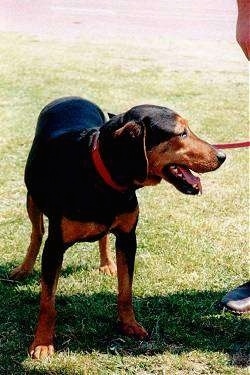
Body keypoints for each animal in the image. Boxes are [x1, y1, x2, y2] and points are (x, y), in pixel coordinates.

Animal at [9, 97, 226, 362]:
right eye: (181, 133)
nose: (223, 156)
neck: (104, 179)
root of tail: (70, 97)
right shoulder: (55, 246)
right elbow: (47, 303)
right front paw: (42, 342)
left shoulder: (128, 238)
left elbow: (125, 290)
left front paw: (129, 324)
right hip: (32, 199)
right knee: (36, 233)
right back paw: (24, 268)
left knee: (101, 239)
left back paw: (106, 264)